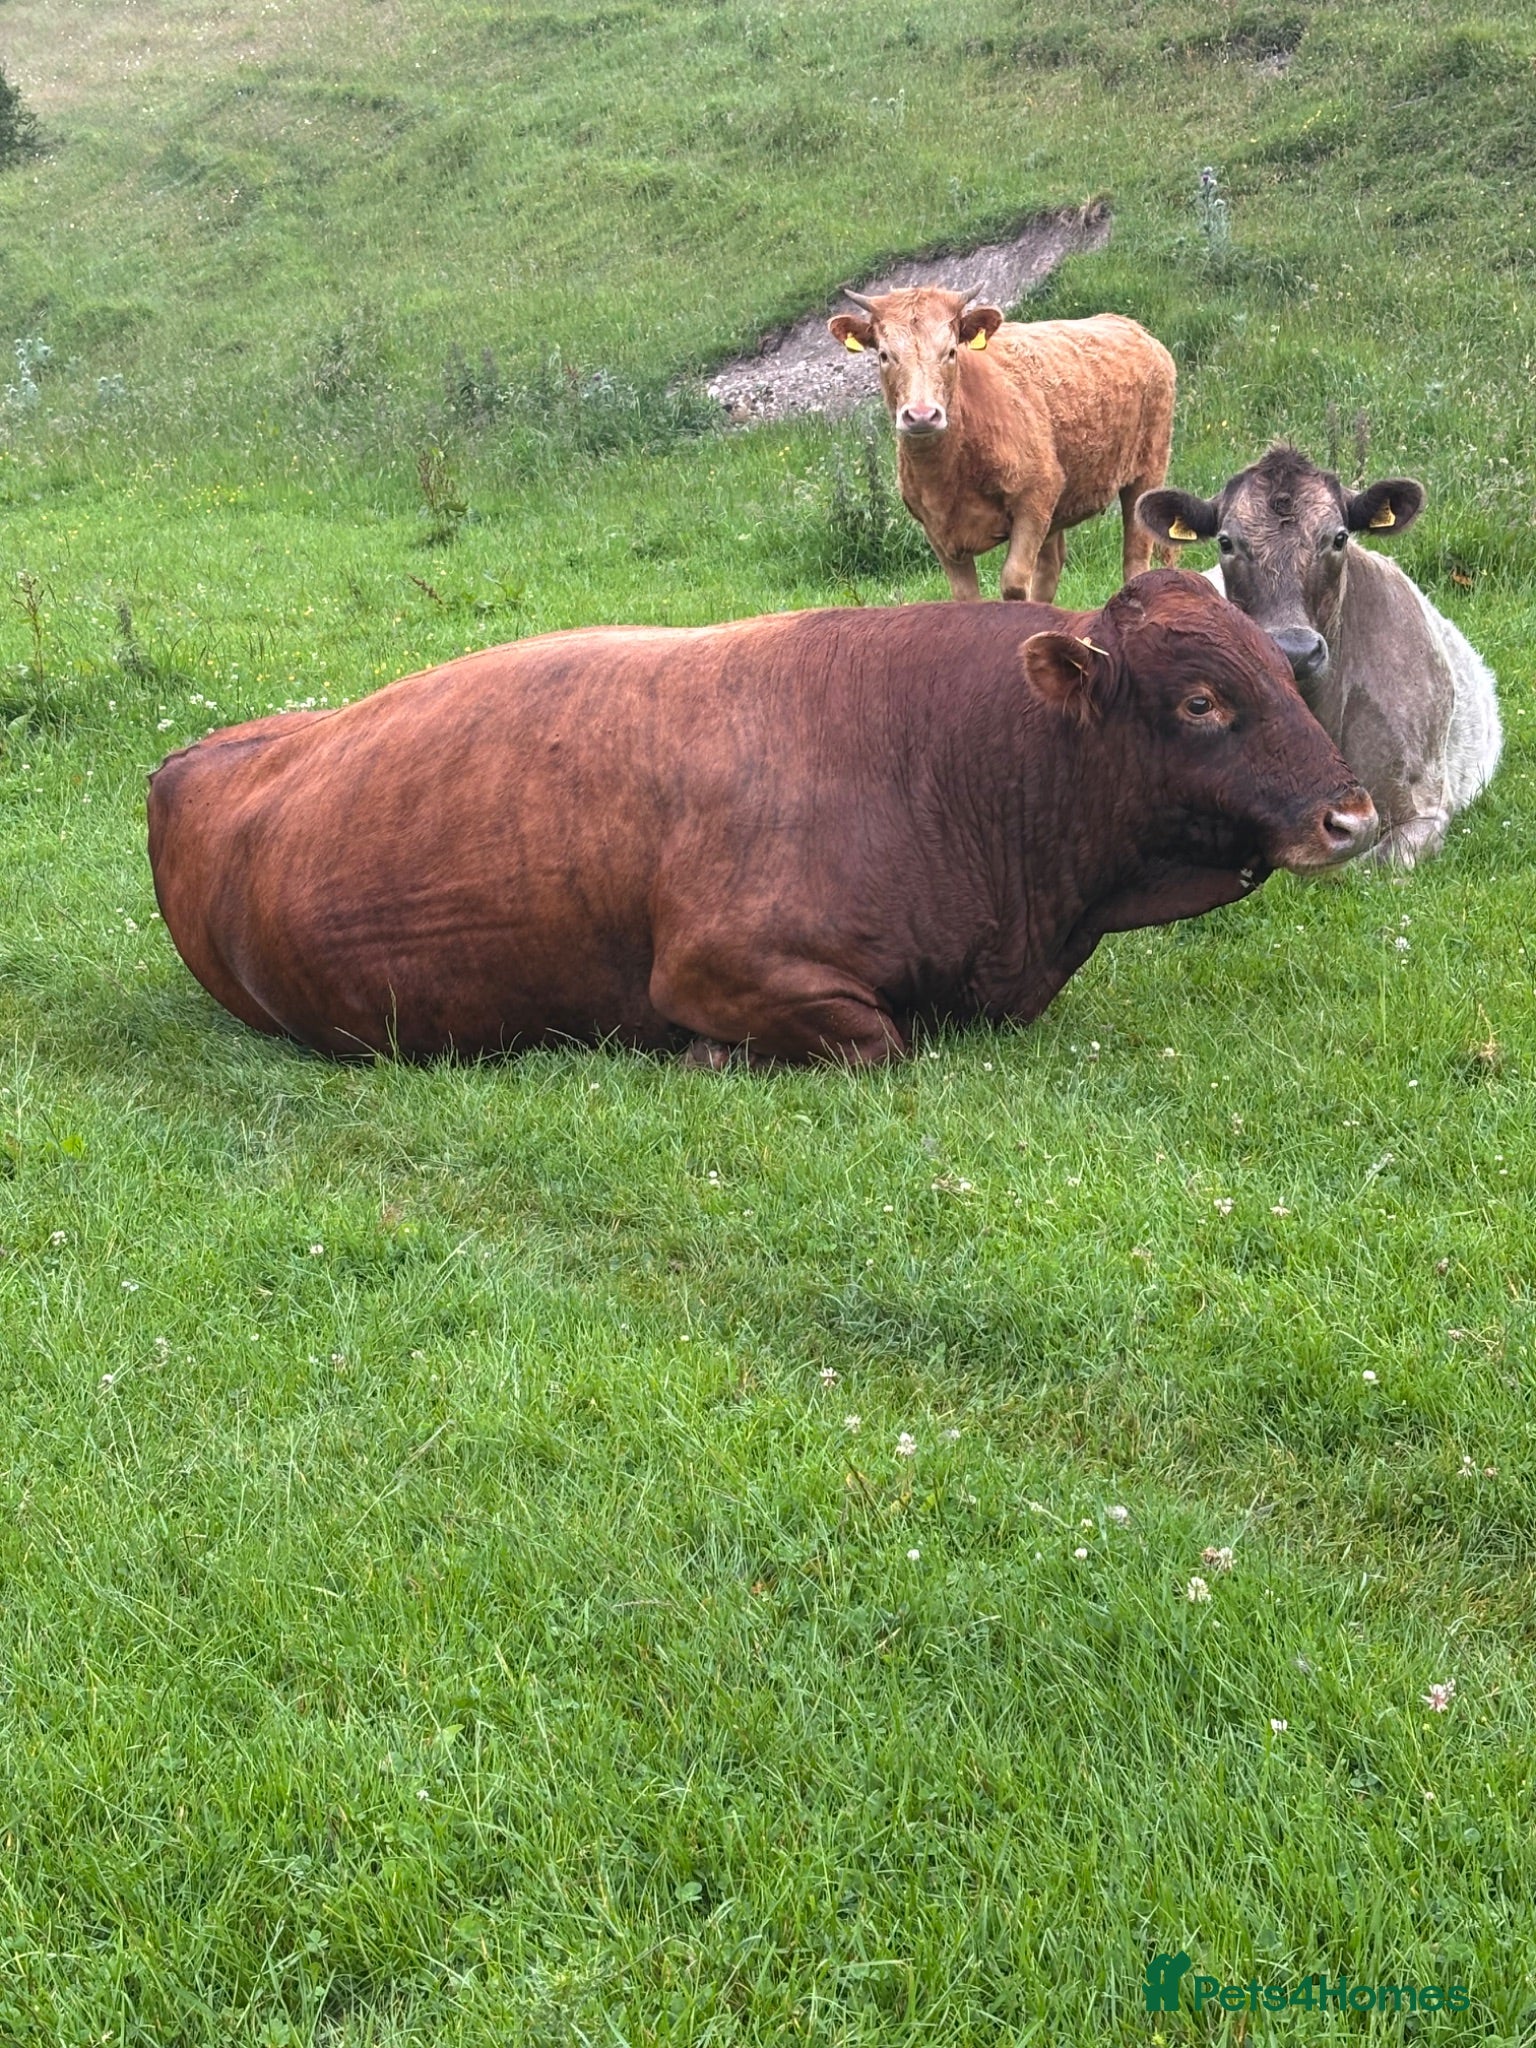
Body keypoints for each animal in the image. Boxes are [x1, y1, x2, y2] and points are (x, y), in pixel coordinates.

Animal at [147, 571, 1375, 1067]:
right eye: (1202, 701)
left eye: (1286, 668)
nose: (1352, 811)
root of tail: (194, 755)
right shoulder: (720, 965)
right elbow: (877, 1041)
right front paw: (705, 1059)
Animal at [826, 287, 1176, 603]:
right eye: (885, 356)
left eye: (951, 352)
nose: (922, 415)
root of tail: (1130, 325)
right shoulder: (935, 528)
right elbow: (967, 596)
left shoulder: (1035, 499)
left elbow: (1014, 583)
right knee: (1051, 568)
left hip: (1148, 471)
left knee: (1137, 559)